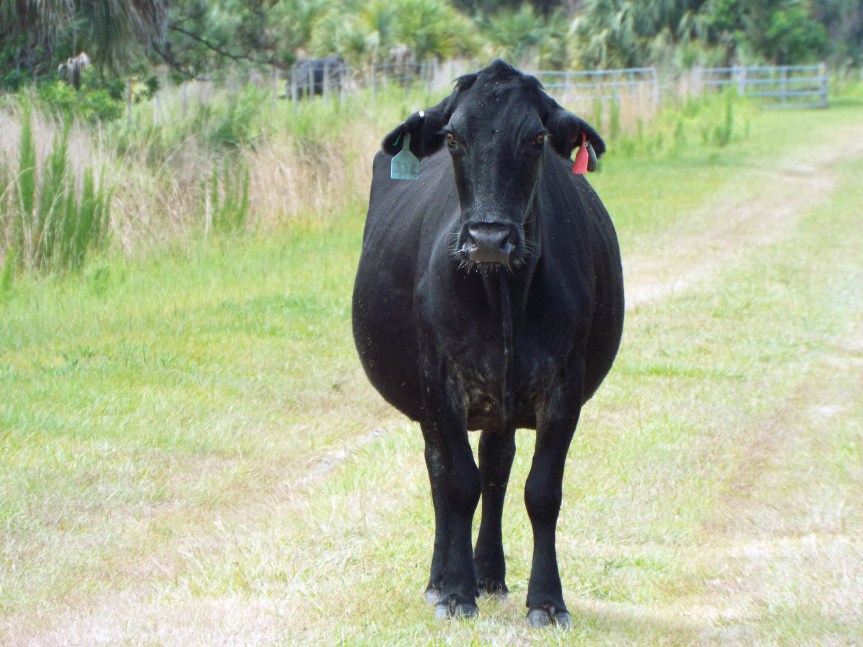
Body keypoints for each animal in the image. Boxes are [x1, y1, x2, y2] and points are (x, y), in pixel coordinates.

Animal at [352, 59, 624, 627]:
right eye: (454, 137)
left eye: (537, 139)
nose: (488, 239)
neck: (502, 294)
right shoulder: (440, 379)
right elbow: (458, 484)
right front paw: (456, 592)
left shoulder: (563, 386)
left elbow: (541, 492)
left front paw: (547, 600)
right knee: (443, 473)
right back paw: (441, 579)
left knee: (497, 471)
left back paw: (491, 574)